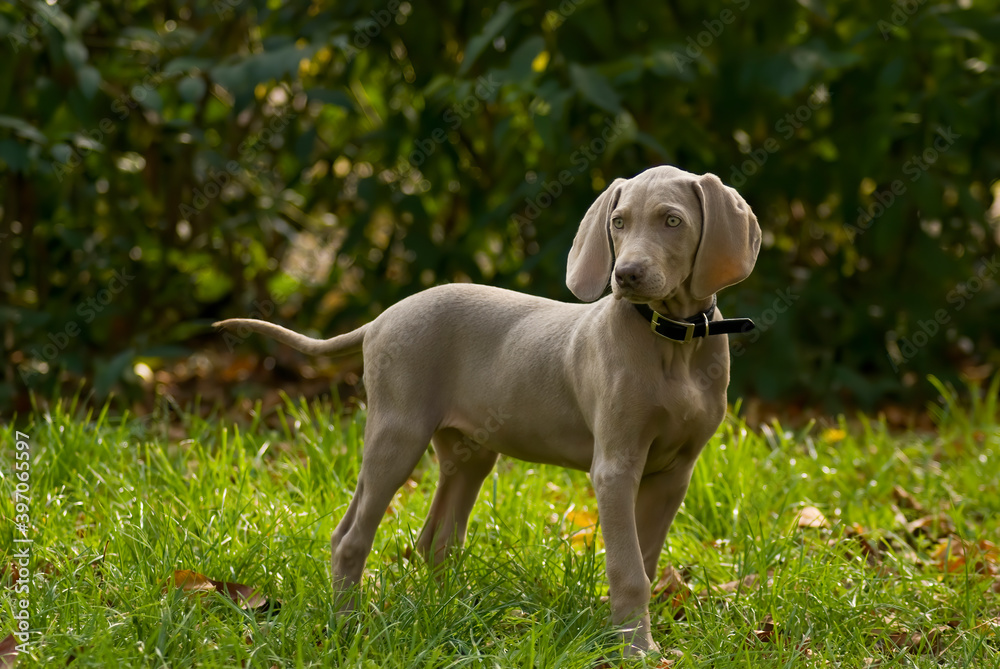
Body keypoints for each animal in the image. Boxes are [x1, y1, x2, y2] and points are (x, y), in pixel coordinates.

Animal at [217, 163, 756, 652]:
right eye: (618, 222)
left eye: (672, 221)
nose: (625, 275)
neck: (675, 341)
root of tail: (382, 317)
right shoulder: (616, 468)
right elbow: (628, 570)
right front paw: (637, 650)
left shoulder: (675, 474)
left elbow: (645, 558)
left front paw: (633, 637)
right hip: (397, 432)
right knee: (350, 536)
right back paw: (349, 625)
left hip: (470, 451)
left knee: (436, 540)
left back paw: (447, 615)